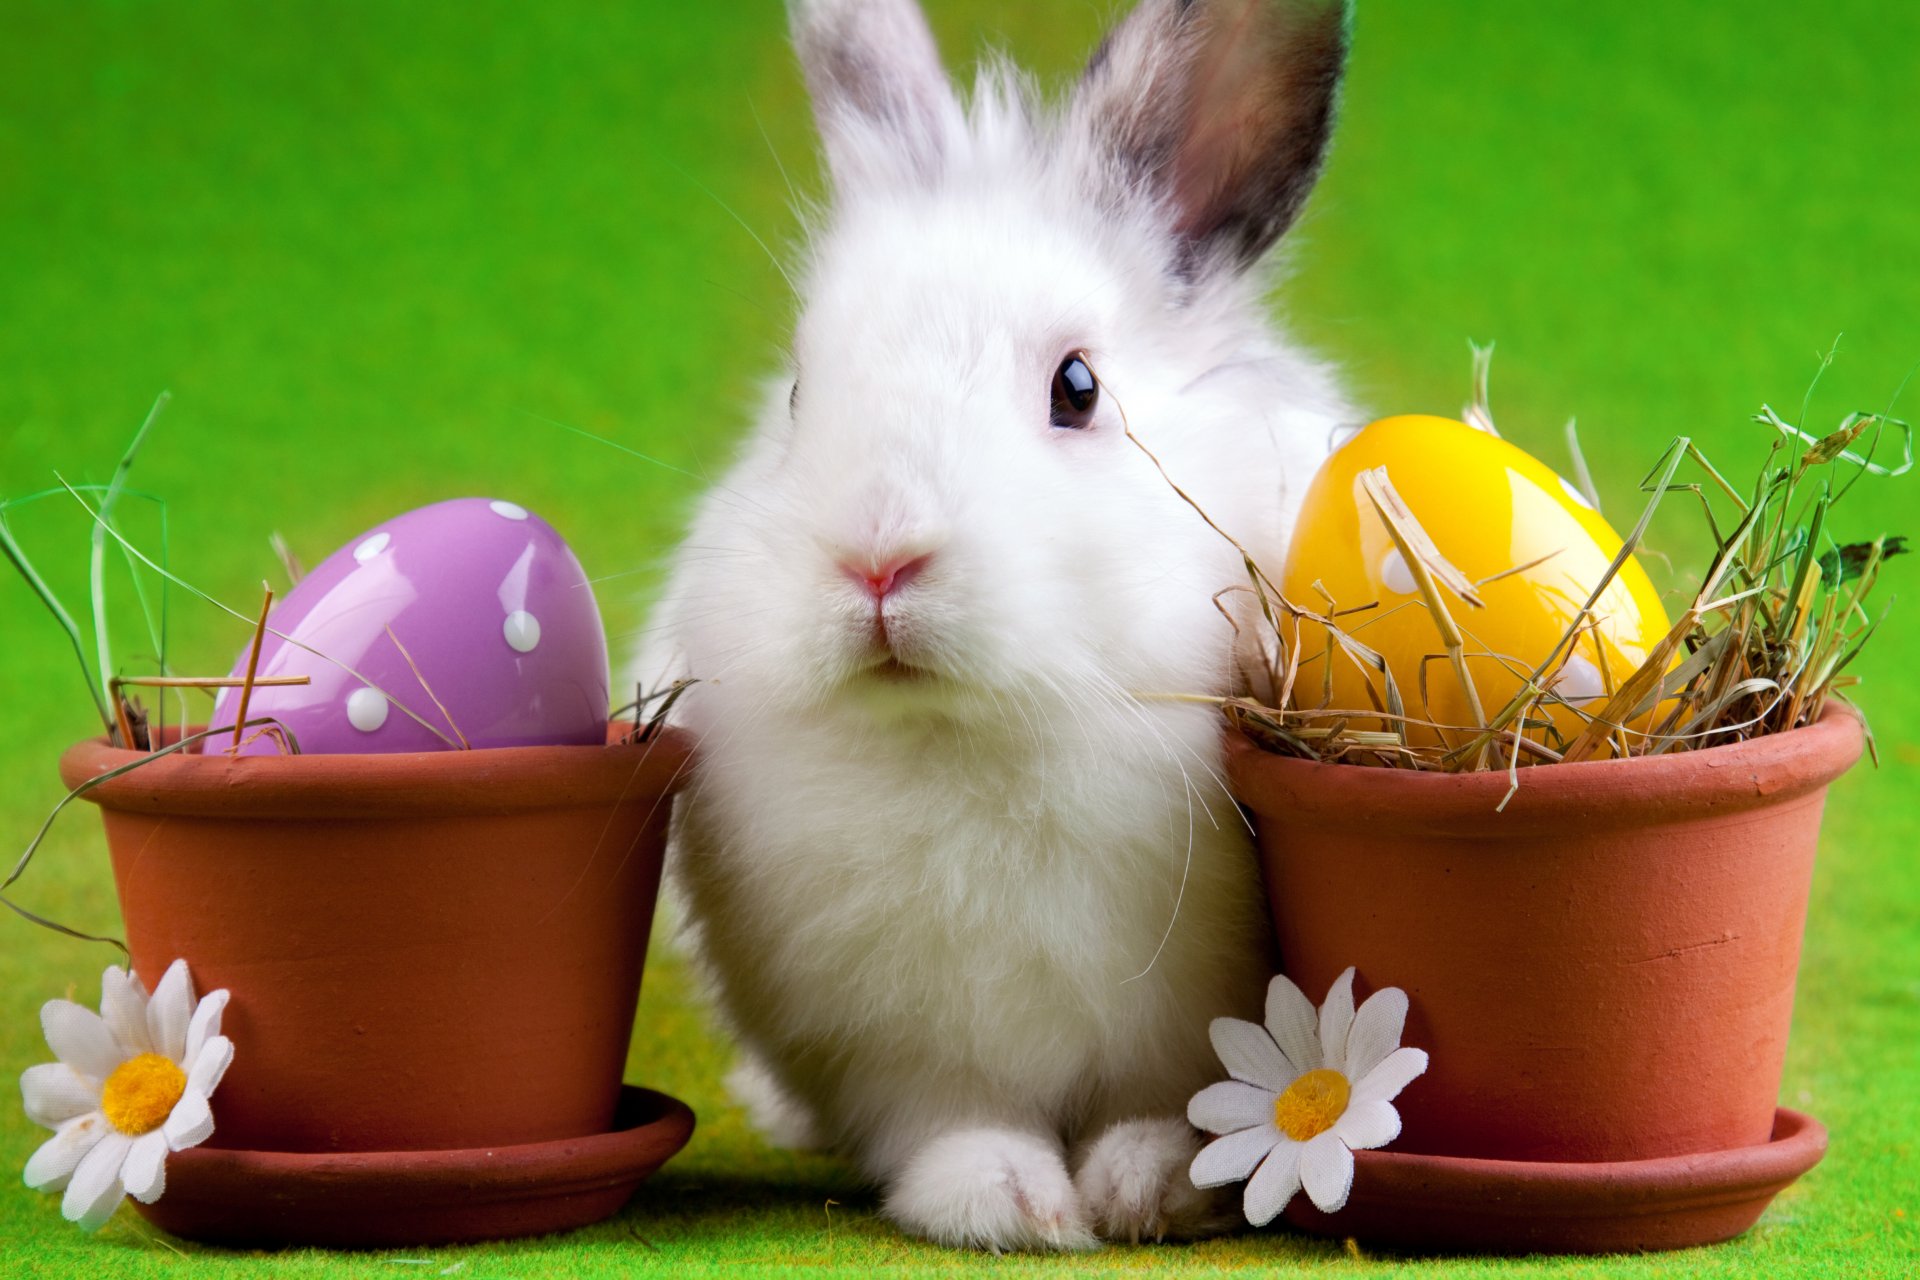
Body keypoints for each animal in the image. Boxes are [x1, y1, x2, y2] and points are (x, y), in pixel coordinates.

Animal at [637, 0, 1356, 1252]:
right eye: (798, 395)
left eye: (1077, 386)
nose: (878, 558)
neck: (976, 732)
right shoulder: (894, 1047)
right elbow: (952, 1120)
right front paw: (1006, 1203)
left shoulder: (1188, 1022)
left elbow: (1173, 1103)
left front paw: (1148, 1185)